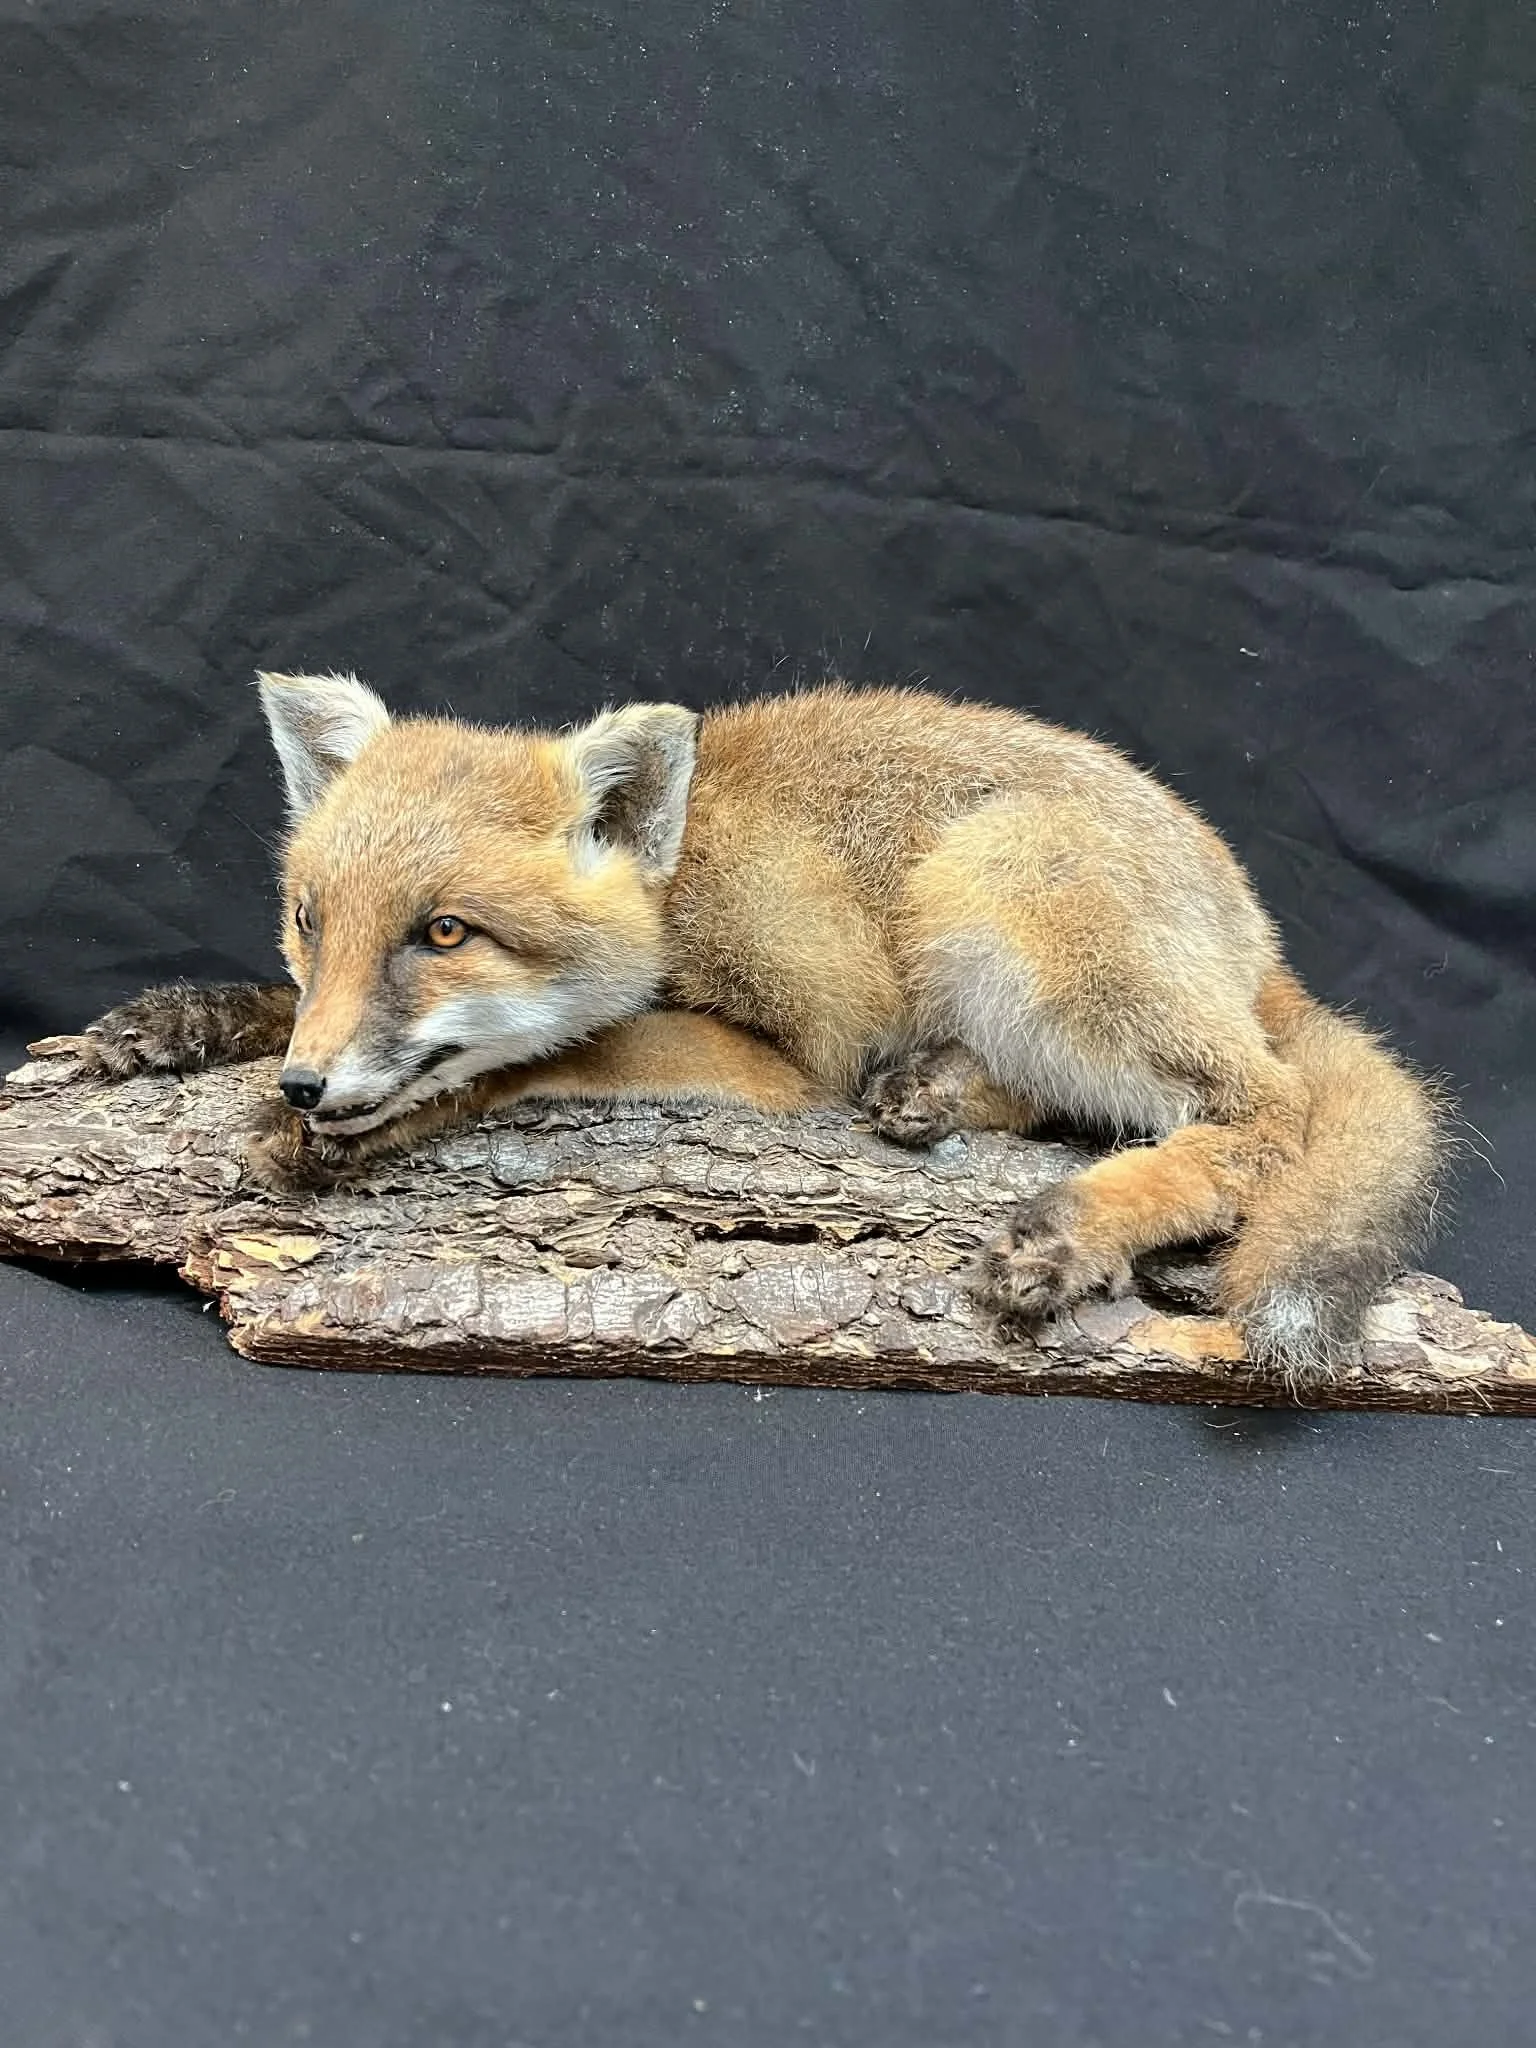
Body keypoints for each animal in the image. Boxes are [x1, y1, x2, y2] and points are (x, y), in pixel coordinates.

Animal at [70, 670, 1444, 1381]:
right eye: (311, 921)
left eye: (445, 933)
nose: (305, 1088)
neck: (686, 889)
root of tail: (1249, 925)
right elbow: (275, 1005)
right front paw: (186, 1021)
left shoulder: (794, 1055)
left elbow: (567, 1048)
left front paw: (362, 1119)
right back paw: (939, 1090)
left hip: (993, 898)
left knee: (1262, 1115)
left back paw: (1072, 1222)